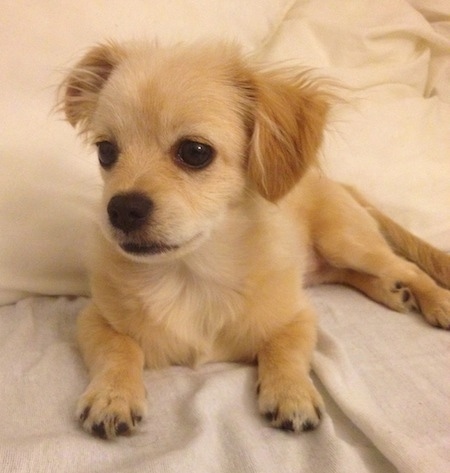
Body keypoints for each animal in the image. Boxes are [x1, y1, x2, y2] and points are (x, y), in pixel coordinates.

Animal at [60, 40, 450, 438]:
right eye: (106, 151)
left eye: (195, 152)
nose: (120, 209)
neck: (190, 275)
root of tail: (339, 183)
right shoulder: (93, 319)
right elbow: (118, 349)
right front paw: (112, 395)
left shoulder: (297, 317)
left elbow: (284, 349)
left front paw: (291, 392)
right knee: (352, 275)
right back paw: (391, 291)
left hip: (346, 242)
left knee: (406, 267)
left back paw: (435, 300)